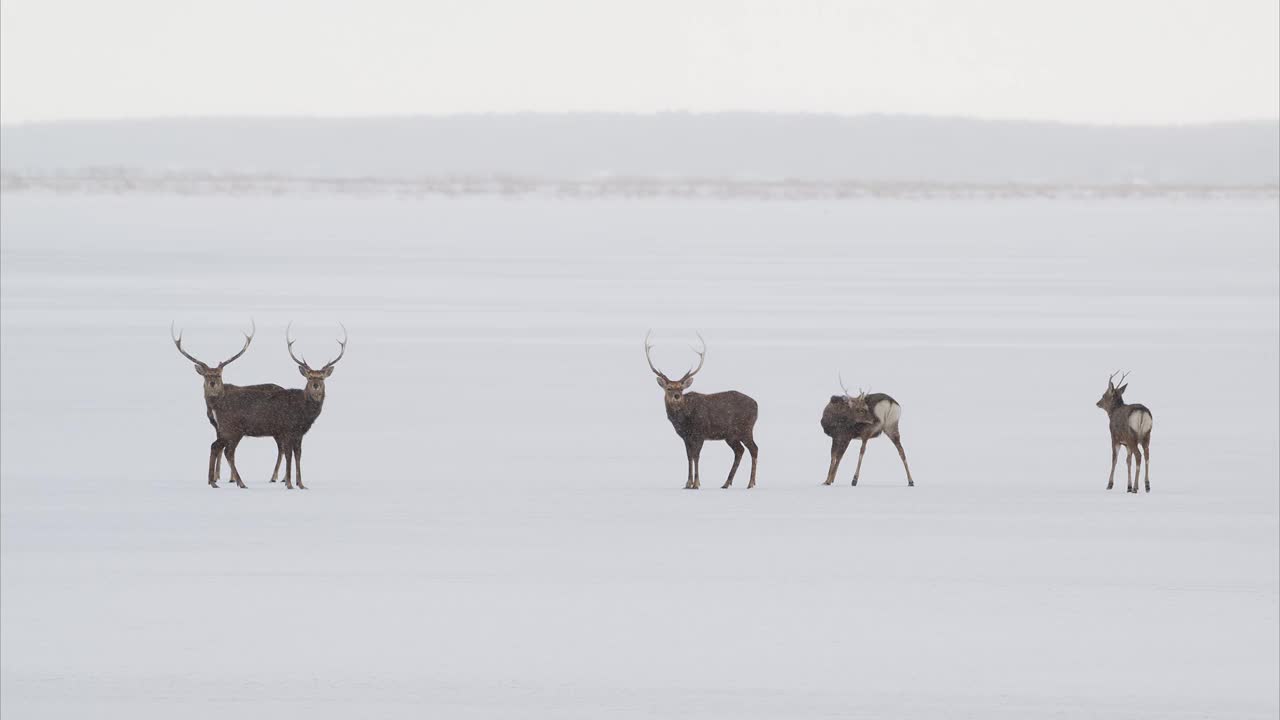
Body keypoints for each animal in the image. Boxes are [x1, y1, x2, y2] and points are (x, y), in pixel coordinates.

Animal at [171, 320, 286, 484]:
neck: (214, 405)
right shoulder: (217, 426)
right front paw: (218, 476)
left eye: (219, 375)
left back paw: (274, 477)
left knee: (281, 448)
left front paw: (225, 478)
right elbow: (221, 449)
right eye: (206, 375)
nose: (212, 383)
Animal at [209, 324, 350, 486]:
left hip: (228, 430)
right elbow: (289, 455)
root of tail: (216, 405)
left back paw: (214, 482)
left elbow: (298, 455)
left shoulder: (298, 433)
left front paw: (301, 484)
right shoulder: (287, 430)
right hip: (231, 429)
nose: (316, 385)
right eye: (309, 377)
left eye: (322, 377)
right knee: (224, 450)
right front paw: (289, 483)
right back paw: (235, 482)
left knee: (217, 447)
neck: (304, 413)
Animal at [645, 330, 752, 486]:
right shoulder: (685, 437)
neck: (683, 421)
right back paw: (727, 483)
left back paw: (750, 483)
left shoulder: (700, 434)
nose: (677, 396)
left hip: (746, 429)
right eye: (669, 388)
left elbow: (696, 456)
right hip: (731, 436)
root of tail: (757, 404)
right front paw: (687, 483)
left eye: (681, 388)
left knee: (754, 449)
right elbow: (689, 456)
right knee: (740, 451)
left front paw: (696, 483)